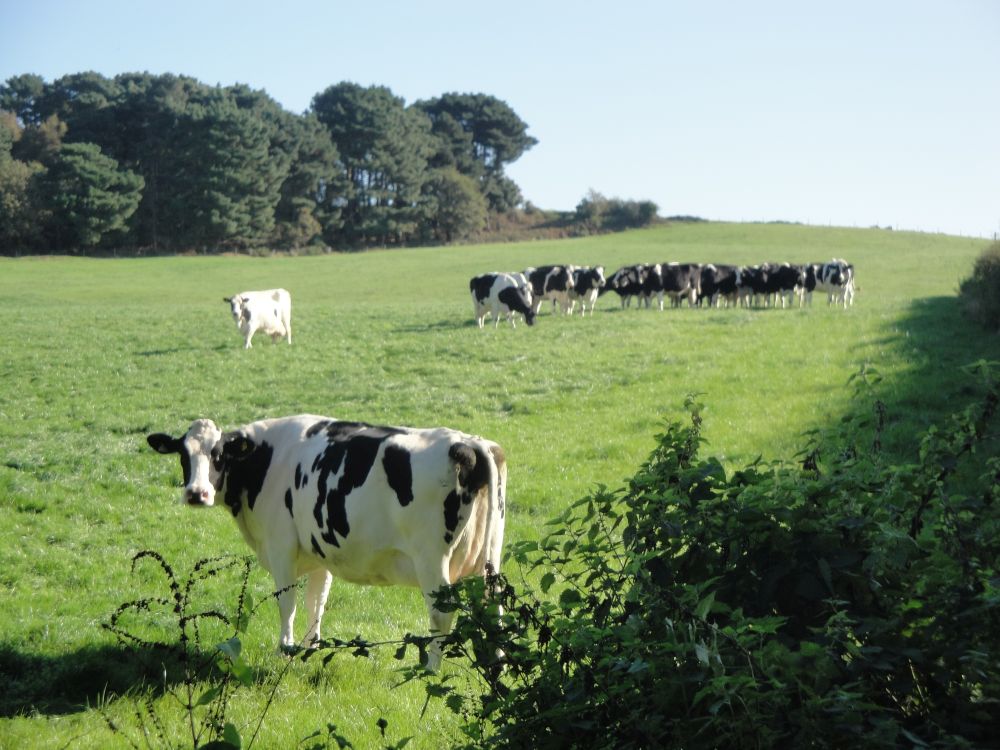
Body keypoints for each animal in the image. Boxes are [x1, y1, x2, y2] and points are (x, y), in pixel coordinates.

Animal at [148, 414, 508, 672]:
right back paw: (499, 663)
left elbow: (287, 602)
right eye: (183, 455)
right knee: (495, 604)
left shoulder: (281, 545)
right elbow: (316, 601)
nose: (197, 494)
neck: (266, 460)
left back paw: (432, 669)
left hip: (431, 559)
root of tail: (467, 443)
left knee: (441, 614)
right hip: (489, 555)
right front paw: (312, 646)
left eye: (219, 455)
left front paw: (285, 649)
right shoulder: (317, 552)